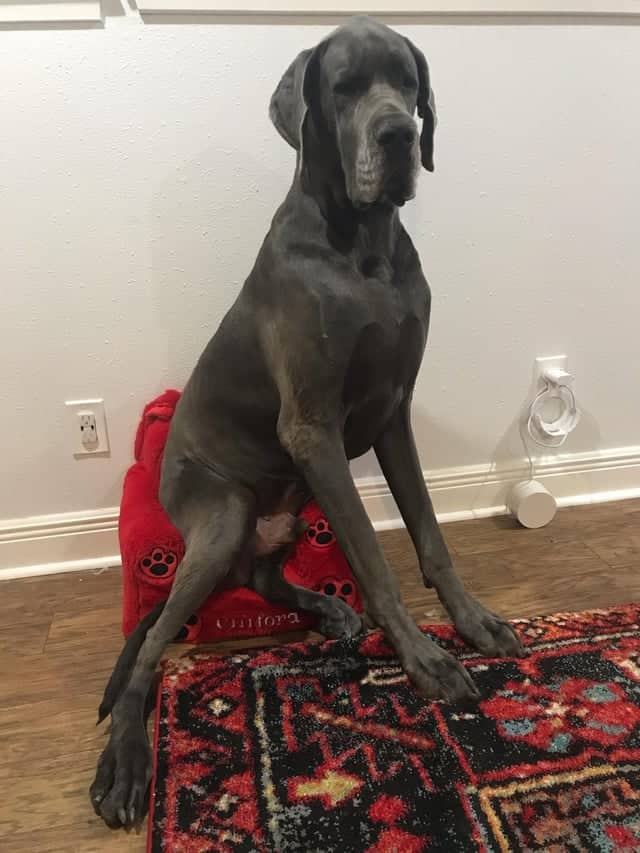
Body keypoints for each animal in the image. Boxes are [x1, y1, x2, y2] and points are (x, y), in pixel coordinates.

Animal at [90, 16, 524, 828]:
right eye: (345, 86)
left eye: (408, 83)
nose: (398, 133)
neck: (365, 245)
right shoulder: (313, 428)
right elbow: (377, 559)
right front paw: (425, 658)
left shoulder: (392, 413)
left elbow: (429, 536)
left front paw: (472, 621)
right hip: (223, 512)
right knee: (152, 648)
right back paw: (126, 766)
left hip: (290, 502)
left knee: (261, 575)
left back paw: (328, 608)